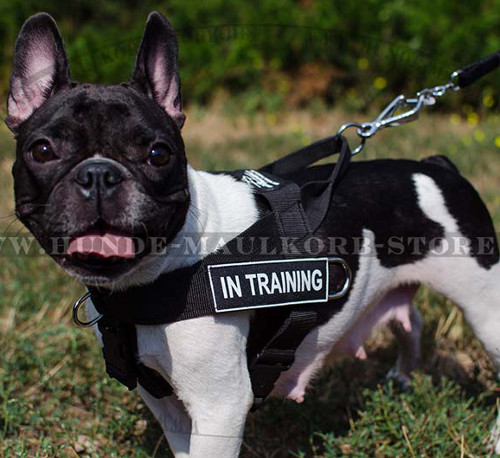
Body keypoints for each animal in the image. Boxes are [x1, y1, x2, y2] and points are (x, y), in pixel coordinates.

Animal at [7, 11, 500, 458]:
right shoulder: (166, 404)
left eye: (158, 154)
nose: (99, 174)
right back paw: (402, 377)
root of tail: (436, 168)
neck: (161, 273)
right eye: (42, 150)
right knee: (409, 317)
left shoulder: (219, 407)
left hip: (484, 304)